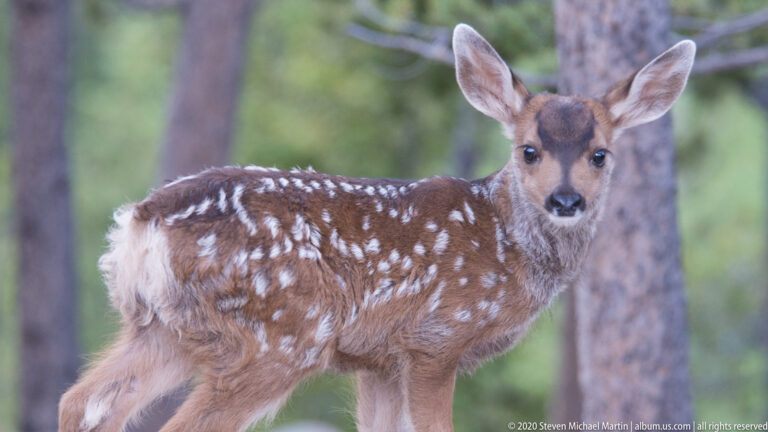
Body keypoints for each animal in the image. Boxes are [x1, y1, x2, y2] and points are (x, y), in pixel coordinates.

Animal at [59, 24, 696, 432]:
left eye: (600, 155)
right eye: (529, 151)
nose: (566, 201)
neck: (506, 247)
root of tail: (141, 222)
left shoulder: (380, 360)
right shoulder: (435, 337)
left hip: (163, 327)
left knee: (82, 403)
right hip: (281, 335)